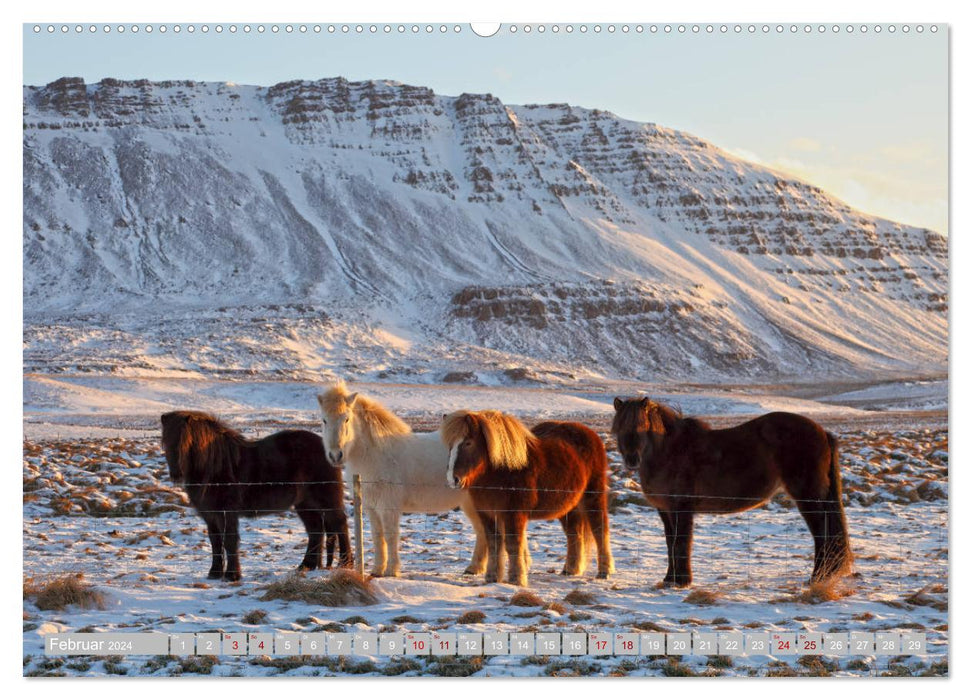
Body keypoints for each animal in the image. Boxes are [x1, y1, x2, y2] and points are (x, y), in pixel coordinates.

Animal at [159, 410, 354, 580]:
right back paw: (306, 566)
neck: (215, 466)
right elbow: (215, 542)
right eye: (166, 441)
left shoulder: (227, 514)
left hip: (326, 499)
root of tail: (330, 451)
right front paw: (214, 573)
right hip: (305, 504)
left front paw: (232, 575)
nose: (176, 474)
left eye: (186, 442)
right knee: (315, 530)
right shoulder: (210, 516)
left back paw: (345, 564)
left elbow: (229, 541)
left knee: (339, 524)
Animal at [318, 386, 490, 576]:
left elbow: (390, 535)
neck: (375, 455)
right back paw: (474, 568)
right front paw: (377, 570)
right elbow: (378, 536)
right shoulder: (371, 507)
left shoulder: (388, 507)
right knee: (482, 532)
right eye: (324, 420)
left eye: (346, 419)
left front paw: (392, 571)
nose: (335, 455)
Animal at [442, 408, 616, 588]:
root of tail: (591, 435)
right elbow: (494, 544)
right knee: (574, 534)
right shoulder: (487, 513)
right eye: (450, 445)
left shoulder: (514, 514)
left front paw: (516, 579)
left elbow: (513, 545)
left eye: (468, 443)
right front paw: (492, 578)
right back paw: (570, 570)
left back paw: (604, 572)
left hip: (593, 497)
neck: (502, 471)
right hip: (568, 507)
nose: (453, 479)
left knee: (600, 530)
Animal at [616, 396, 852, 588]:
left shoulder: (681, 508)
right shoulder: (665, 511)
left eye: (642, 426)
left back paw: (817, 577)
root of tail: (823, 432)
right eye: (619, 428)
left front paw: (682, 581)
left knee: (821, 533)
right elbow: (670, 543)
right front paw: (670, 579)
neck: (671, 451)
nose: (632, 460)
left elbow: (681, 542)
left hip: (808, 496)